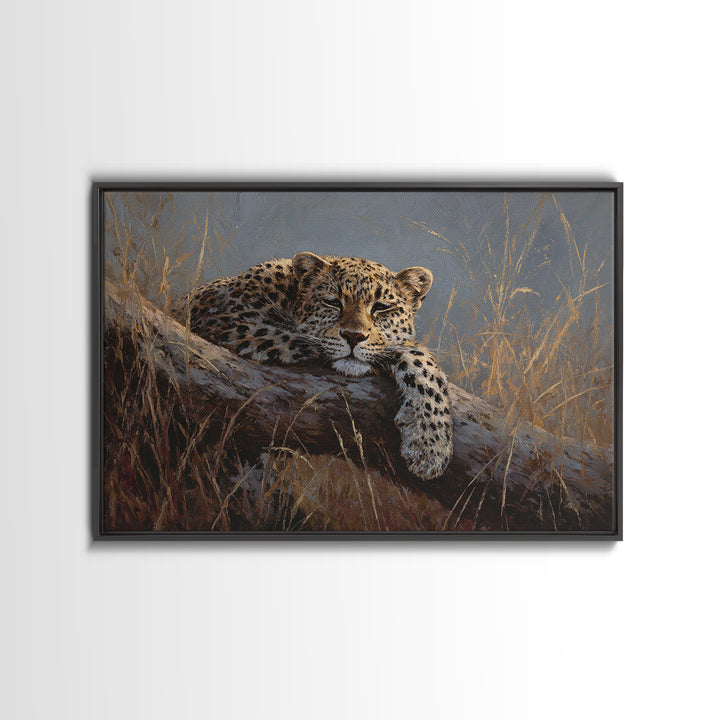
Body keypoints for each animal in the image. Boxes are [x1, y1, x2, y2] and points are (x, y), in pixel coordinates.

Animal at [177, 252, 453, 480]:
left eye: (381, 307)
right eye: (333, 302)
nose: (354, 336)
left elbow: (421, 363)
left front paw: (431, 445)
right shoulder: (223, 321)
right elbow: (305, 340)